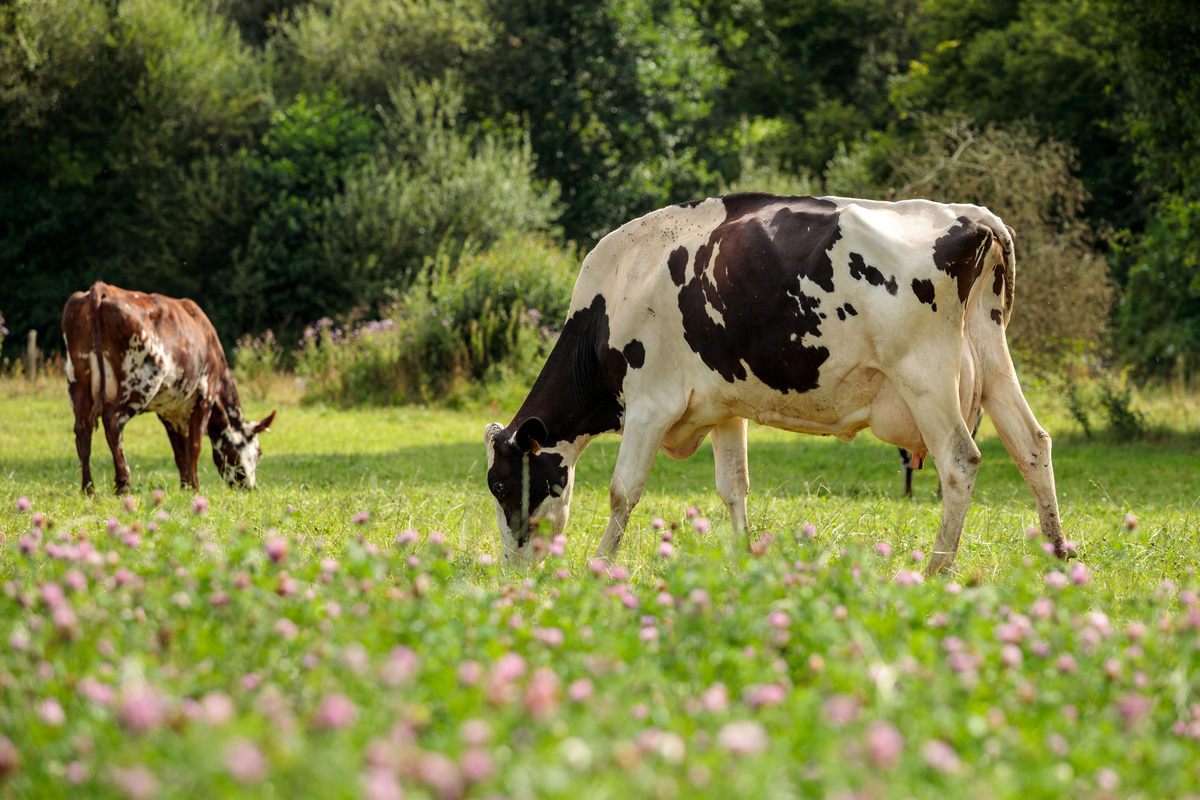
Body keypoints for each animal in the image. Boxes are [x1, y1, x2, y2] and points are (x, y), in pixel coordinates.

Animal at [62, 282, 276, 495]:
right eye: (259, 452)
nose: (250, 487)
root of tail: (102, 288)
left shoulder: (170, 411)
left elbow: (179, 451)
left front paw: (185, 487)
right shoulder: (205, 397)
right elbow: (194, 446)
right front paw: (195, 488)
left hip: (78, 380)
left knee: (82, 430)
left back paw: (88, 488)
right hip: (140, 382)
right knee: (113, 423)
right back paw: (123, 483)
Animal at [484, 193, 1065, 576]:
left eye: (501, 485)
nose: (514, 566)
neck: (618, 290)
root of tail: (974, 216)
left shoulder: (650, 403)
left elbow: (622, 490)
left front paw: (599, 565)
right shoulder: (723, 406)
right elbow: (733, 487)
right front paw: (744, 558)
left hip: (926, 377)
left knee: (960, 462)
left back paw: (937, 569)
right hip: (993, 360)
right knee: (1032, 445)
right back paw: (1060, 555)